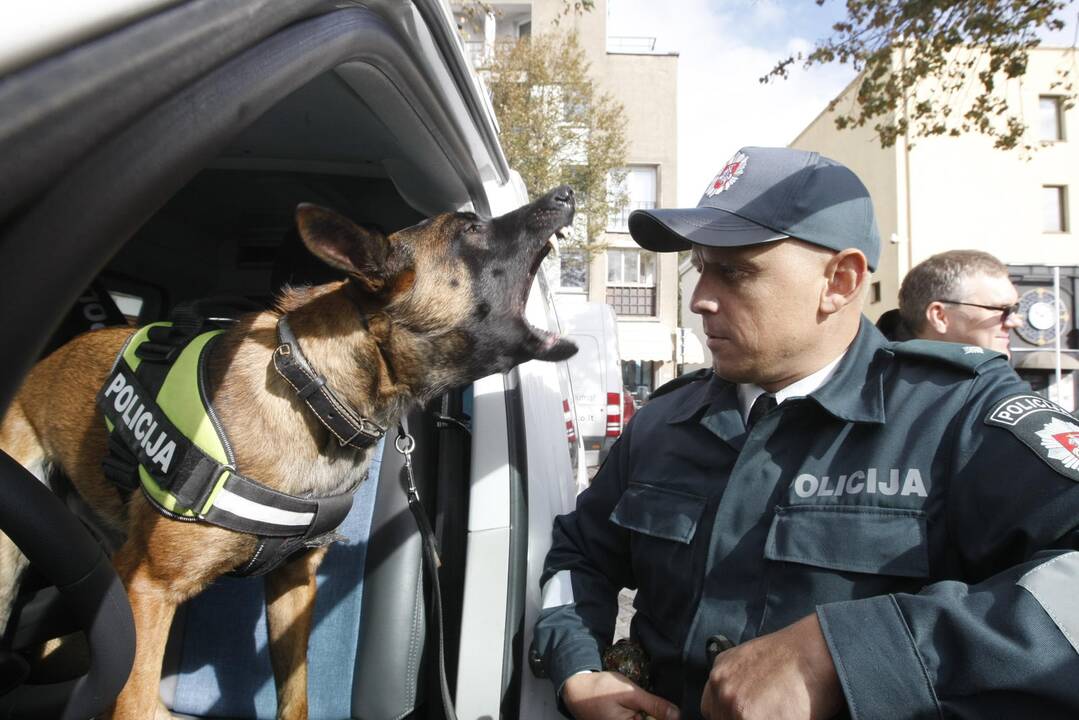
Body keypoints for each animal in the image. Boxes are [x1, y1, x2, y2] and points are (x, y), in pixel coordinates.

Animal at [0, 187, 578, 720]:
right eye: (470, 231)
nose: (564, 193)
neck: (311, 388)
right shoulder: (147, 590)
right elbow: (134, 701)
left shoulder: (294, 584)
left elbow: (295, 695)